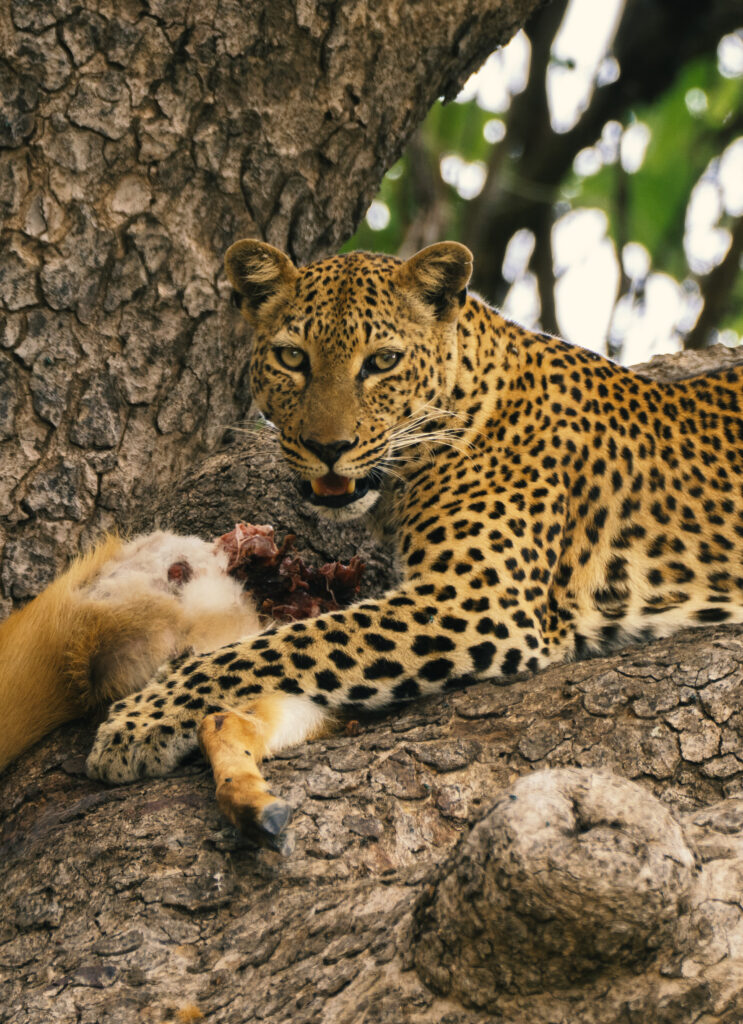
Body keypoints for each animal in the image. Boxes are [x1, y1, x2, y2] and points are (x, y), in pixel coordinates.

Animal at [87, 238, 743, 841]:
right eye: (292, 357)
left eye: (381, 361)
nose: (329, 448)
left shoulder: (474, 601)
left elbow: (278, 648)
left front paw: (136, 723)